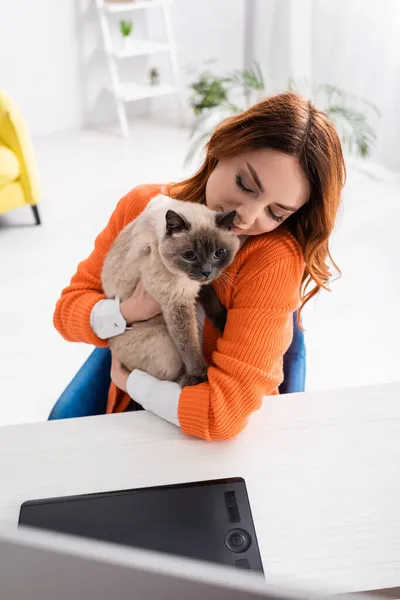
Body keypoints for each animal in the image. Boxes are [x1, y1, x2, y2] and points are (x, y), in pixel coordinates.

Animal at [101, 195, 239, 386]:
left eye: (219, 253)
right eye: (189, 255)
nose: (206, 271)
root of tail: (109, 346)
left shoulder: (196, 285)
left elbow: (211, 301)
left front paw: (223, 322)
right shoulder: (177, 302)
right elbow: (188, 343)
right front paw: (199, 374)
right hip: (165, 348)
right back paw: (187, 380)